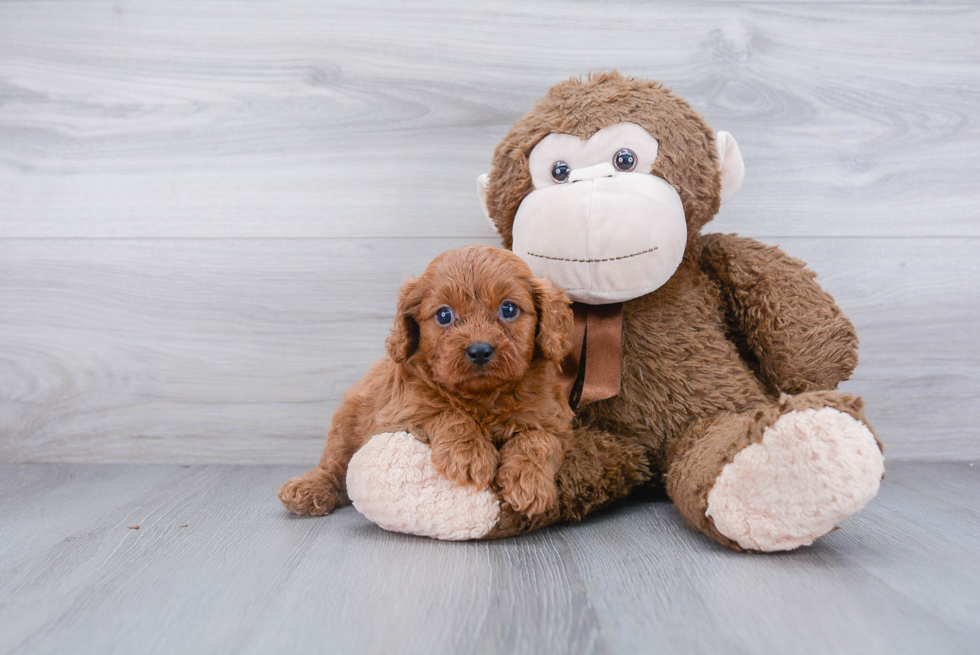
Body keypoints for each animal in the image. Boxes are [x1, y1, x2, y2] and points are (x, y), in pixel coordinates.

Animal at [278, 246, 576, 524]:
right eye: (444, 315)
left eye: (509, 309)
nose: (479, 350)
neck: (482, 397)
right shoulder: (397, 414)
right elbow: (444, 411)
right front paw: (468, 453)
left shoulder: (553, 421)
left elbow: (537, 440)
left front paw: (529, 482)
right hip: (345, 425)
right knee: (335, 466)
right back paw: (308, 489)